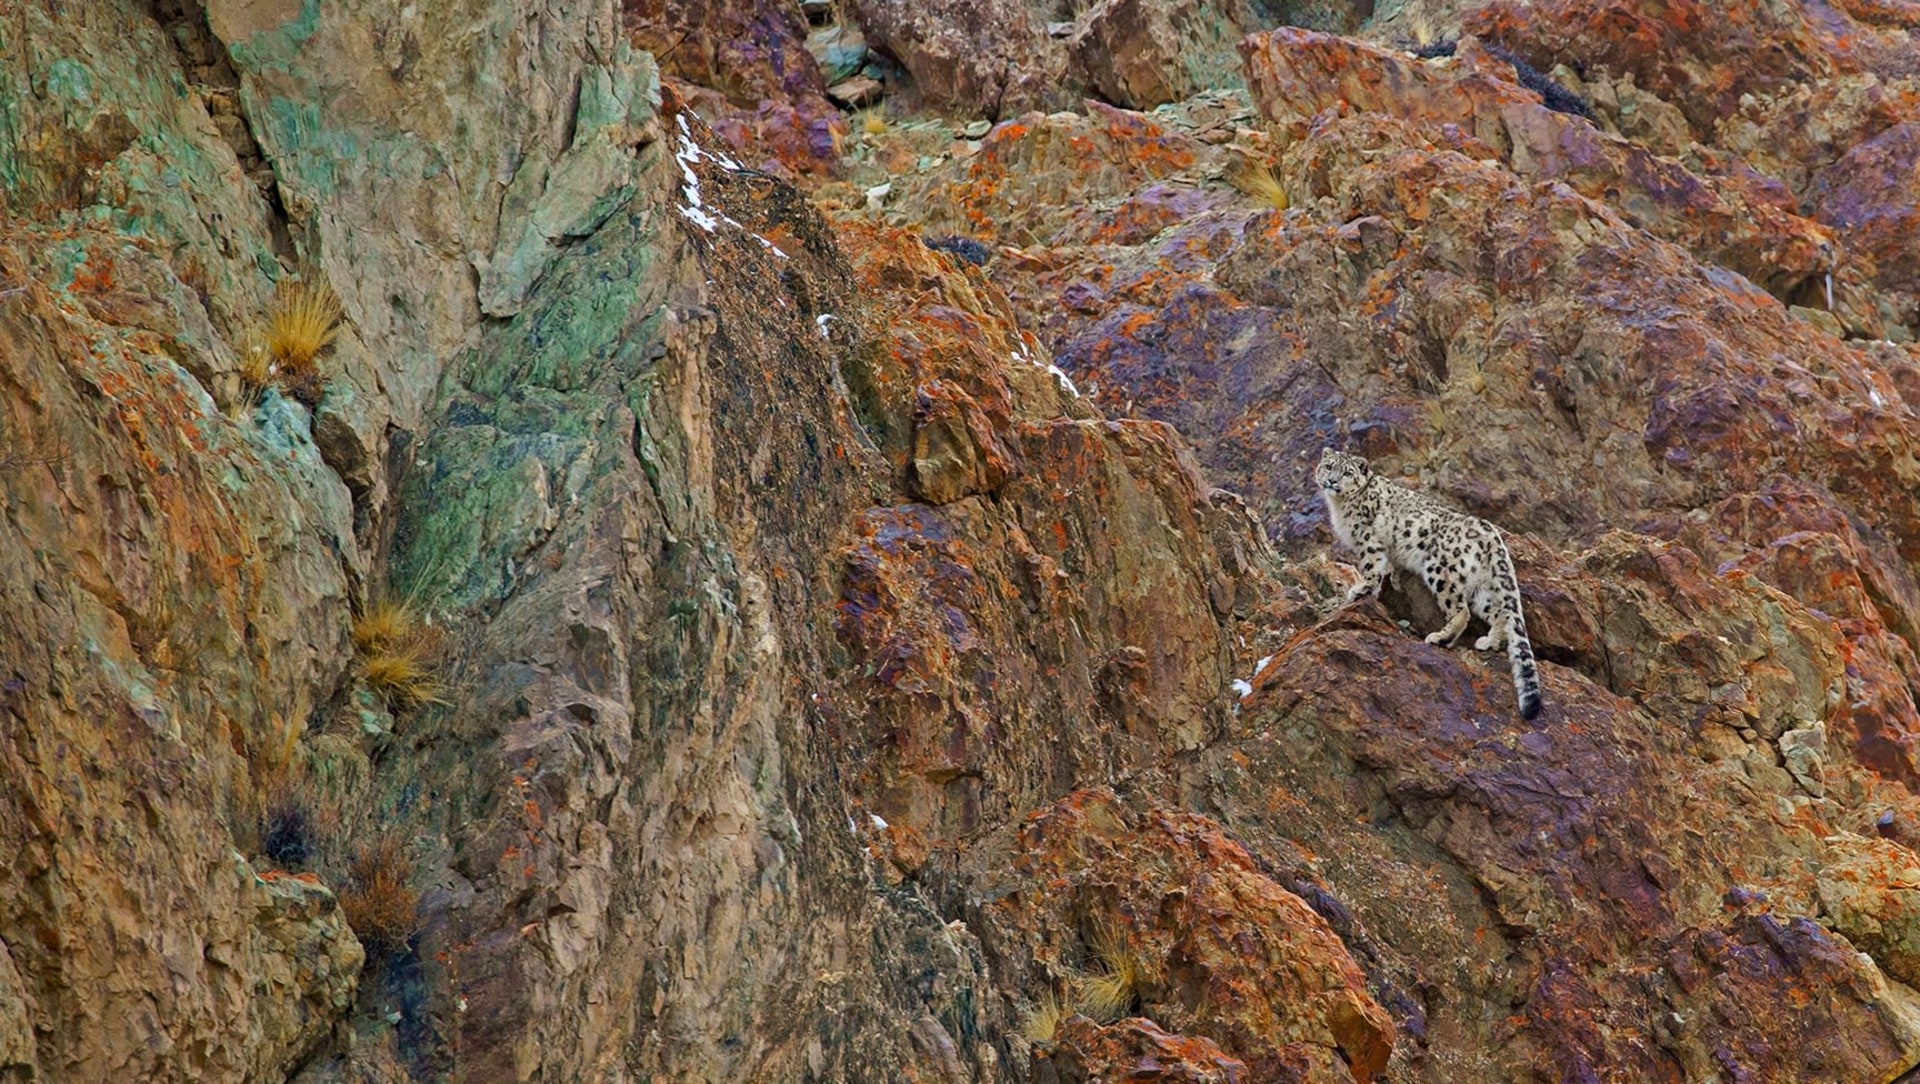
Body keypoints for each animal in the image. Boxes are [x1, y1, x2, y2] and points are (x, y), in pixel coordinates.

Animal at [1314, 448, 1543, 720]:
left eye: (1347, 472)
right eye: (1329, 466)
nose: (1331, 481)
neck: (1339, 506)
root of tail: (1491, 534)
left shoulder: (1368, 540)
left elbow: (1371, 567)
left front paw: (1361, 589)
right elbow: (1391, 565)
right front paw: (1393, 580)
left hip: (1440, 569)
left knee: (1461, 611)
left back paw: (1441, 638)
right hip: (1482, 586)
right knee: (1500, 614)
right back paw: (1489, 642)